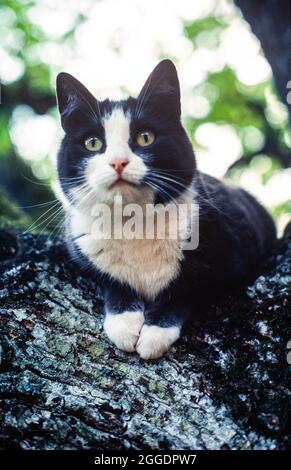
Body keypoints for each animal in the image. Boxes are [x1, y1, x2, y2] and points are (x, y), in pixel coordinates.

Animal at [56, 58, 278, 360]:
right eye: (93, 143)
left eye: (145, 137)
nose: (118, 162)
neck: (134, 224)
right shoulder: (81, 249)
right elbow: (114, 282)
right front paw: (123, 323)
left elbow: (188, 289)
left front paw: (154, 333)